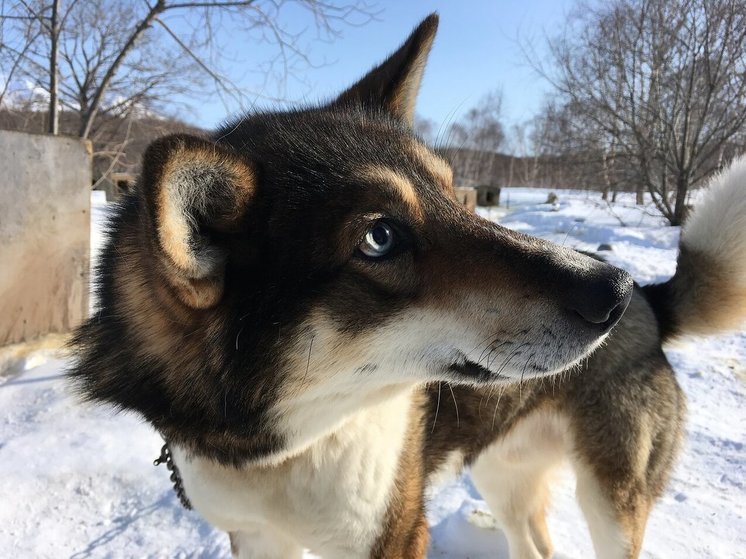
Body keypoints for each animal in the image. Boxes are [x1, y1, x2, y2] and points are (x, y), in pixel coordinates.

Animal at [67, 14, 740, 559]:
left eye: (452, 193)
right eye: (380, 237)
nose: (611, 291)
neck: (291, 446)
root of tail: (653, 301)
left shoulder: (394, 535)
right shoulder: (256, 537)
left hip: (609, 502)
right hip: (503, 475)